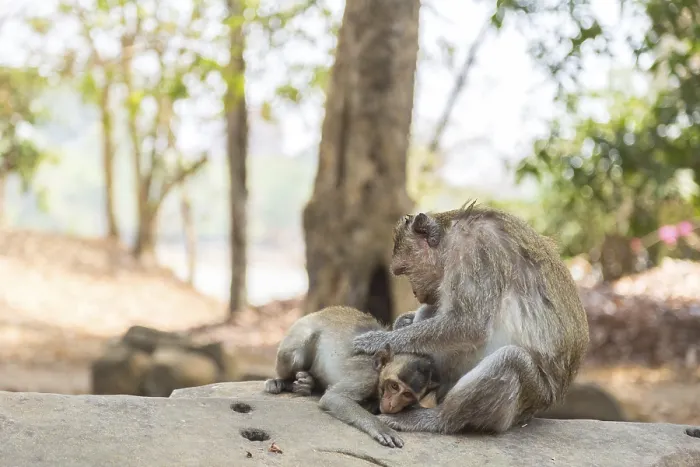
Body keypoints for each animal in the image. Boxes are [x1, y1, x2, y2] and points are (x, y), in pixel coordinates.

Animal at [264, 305, 440, 448]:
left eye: (407, 394)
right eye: (394, 386)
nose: (392, 404)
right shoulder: (366, 377)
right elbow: (334, 398)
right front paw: (380, 427)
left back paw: (307, 383)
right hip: (299, 331)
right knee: (294, 351)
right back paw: (282, 382)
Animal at [352, 201, 590, 435]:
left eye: (405, 270)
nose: (415, 293)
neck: (451, 233)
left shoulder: (474, 248)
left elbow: (470, 325)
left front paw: (376, 341)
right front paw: (404, 321)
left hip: (532, 394)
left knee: (510, 361)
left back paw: (438, 418)